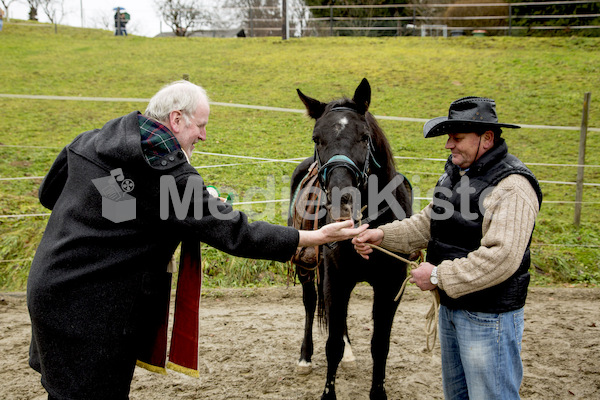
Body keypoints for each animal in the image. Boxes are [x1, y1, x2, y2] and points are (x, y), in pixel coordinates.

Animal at [290, 79, 412, 400]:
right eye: (316, 138)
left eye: (364, 137)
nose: (341, 200)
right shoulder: (336, 278)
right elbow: (331, 344)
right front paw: (327, 394)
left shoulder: (390, 286)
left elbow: (380, 344)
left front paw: (378, 393)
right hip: (308, 267)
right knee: (310, 303)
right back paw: (305, 357)